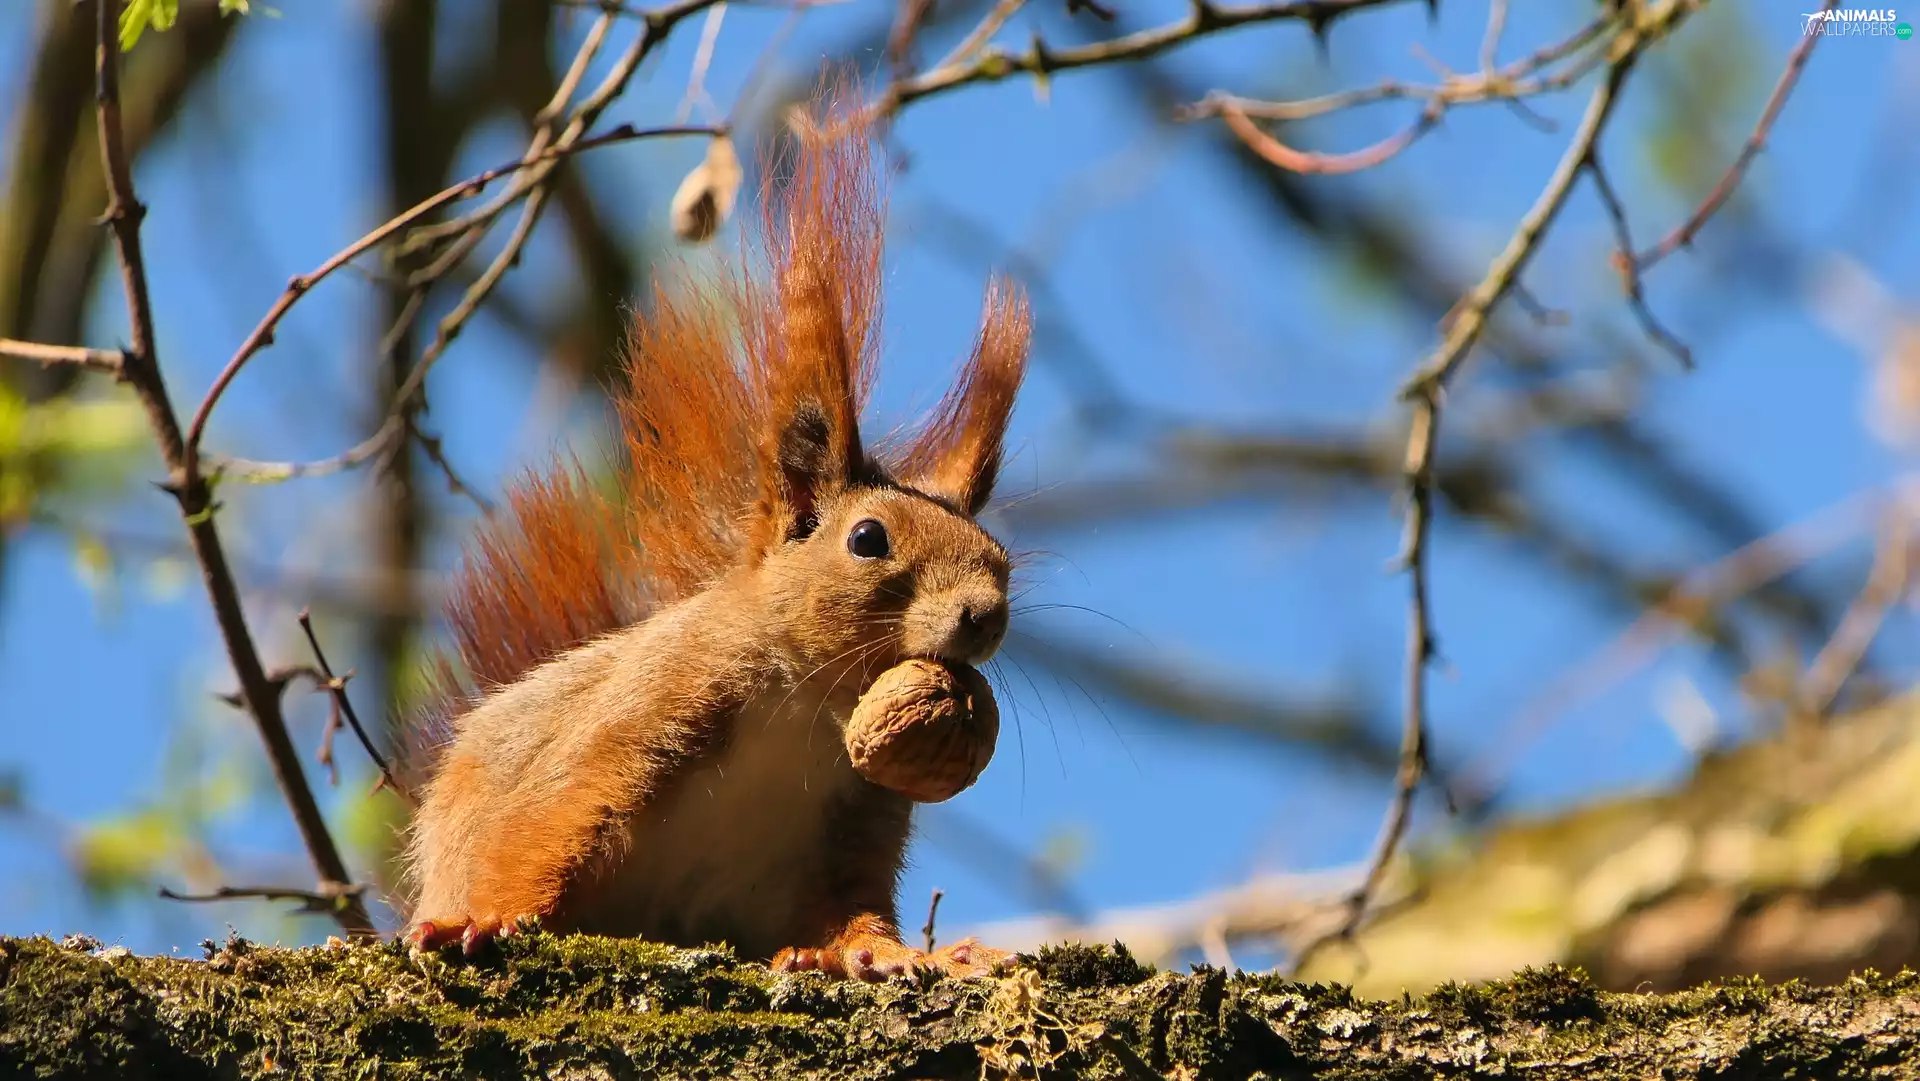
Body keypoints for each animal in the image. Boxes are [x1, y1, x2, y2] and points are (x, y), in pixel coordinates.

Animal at [396, 94, 1032, 983]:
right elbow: (553, 815)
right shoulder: (646, 712)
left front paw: (889, 953)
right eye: (868, 538)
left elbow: (855, 905)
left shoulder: (860, 818)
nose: (985, 614)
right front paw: (485, 917)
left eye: (1001, 561)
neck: (812, 704)